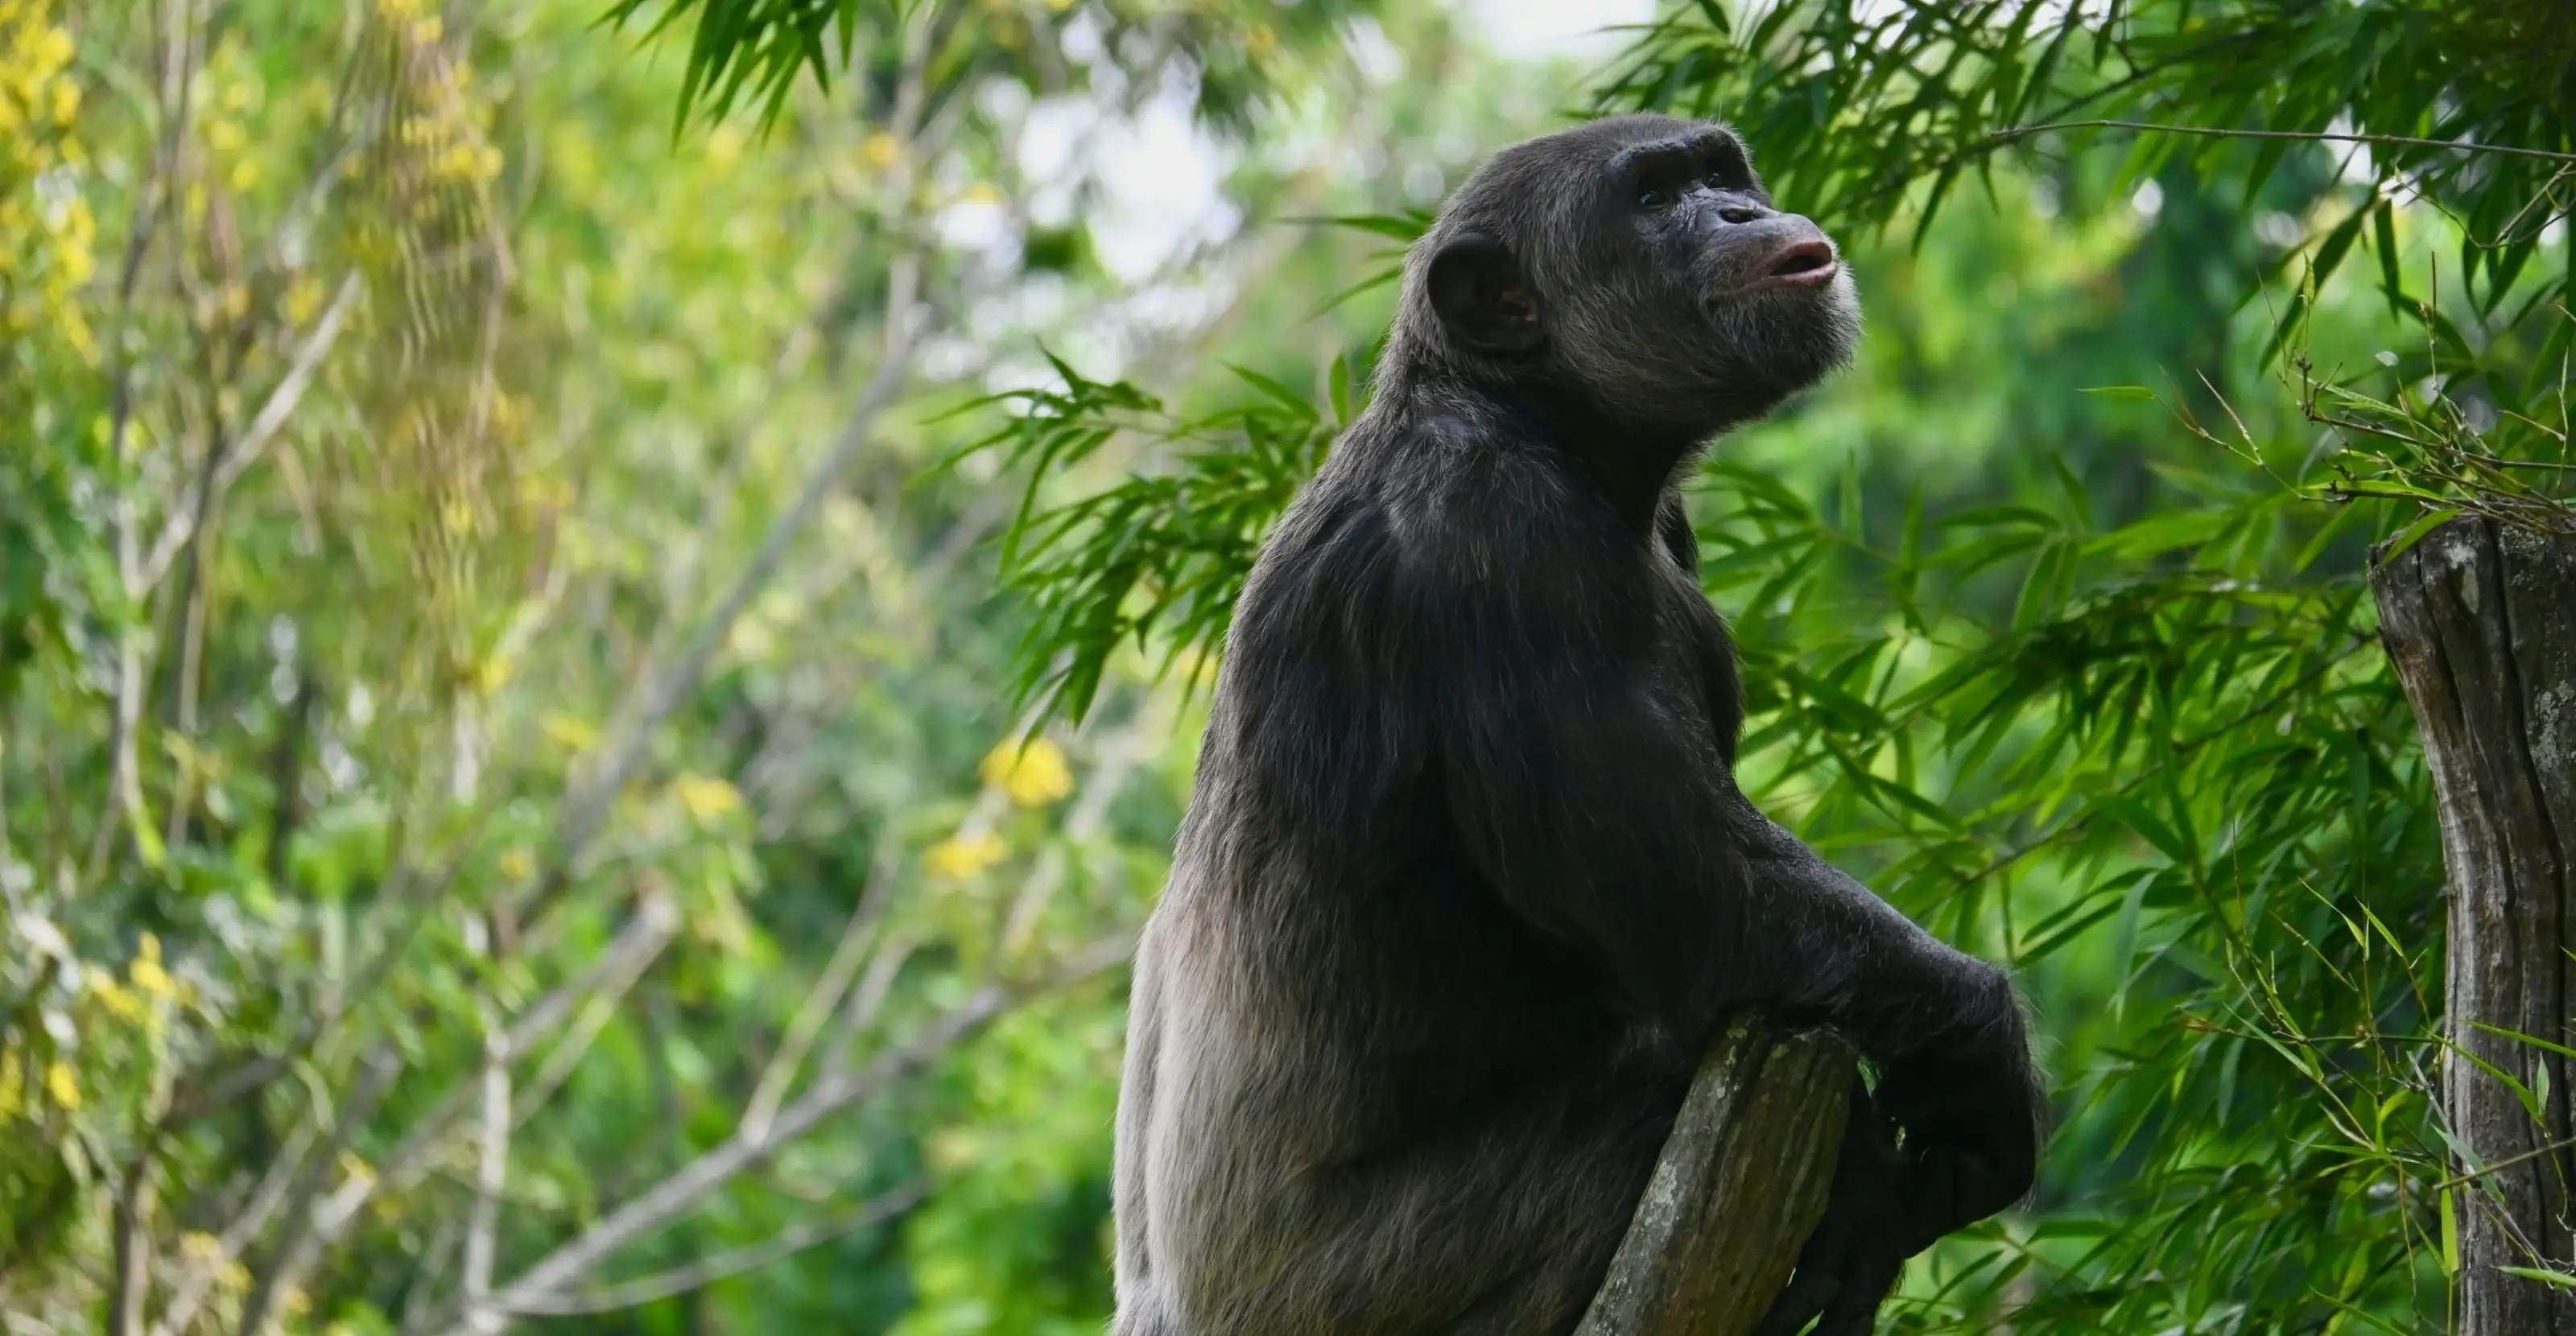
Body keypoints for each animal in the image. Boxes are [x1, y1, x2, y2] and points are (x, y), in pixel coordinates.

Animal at [1110, 114, 2043, 1336]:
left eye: (1718, 172)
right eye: (1650, 199)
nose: (1741, 212)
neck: (1545, 422)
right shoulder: (1504, 553)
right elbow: (1694, 889)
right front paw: (1982, 1057)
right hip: (1342, 1293)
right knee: (1645, 1101)